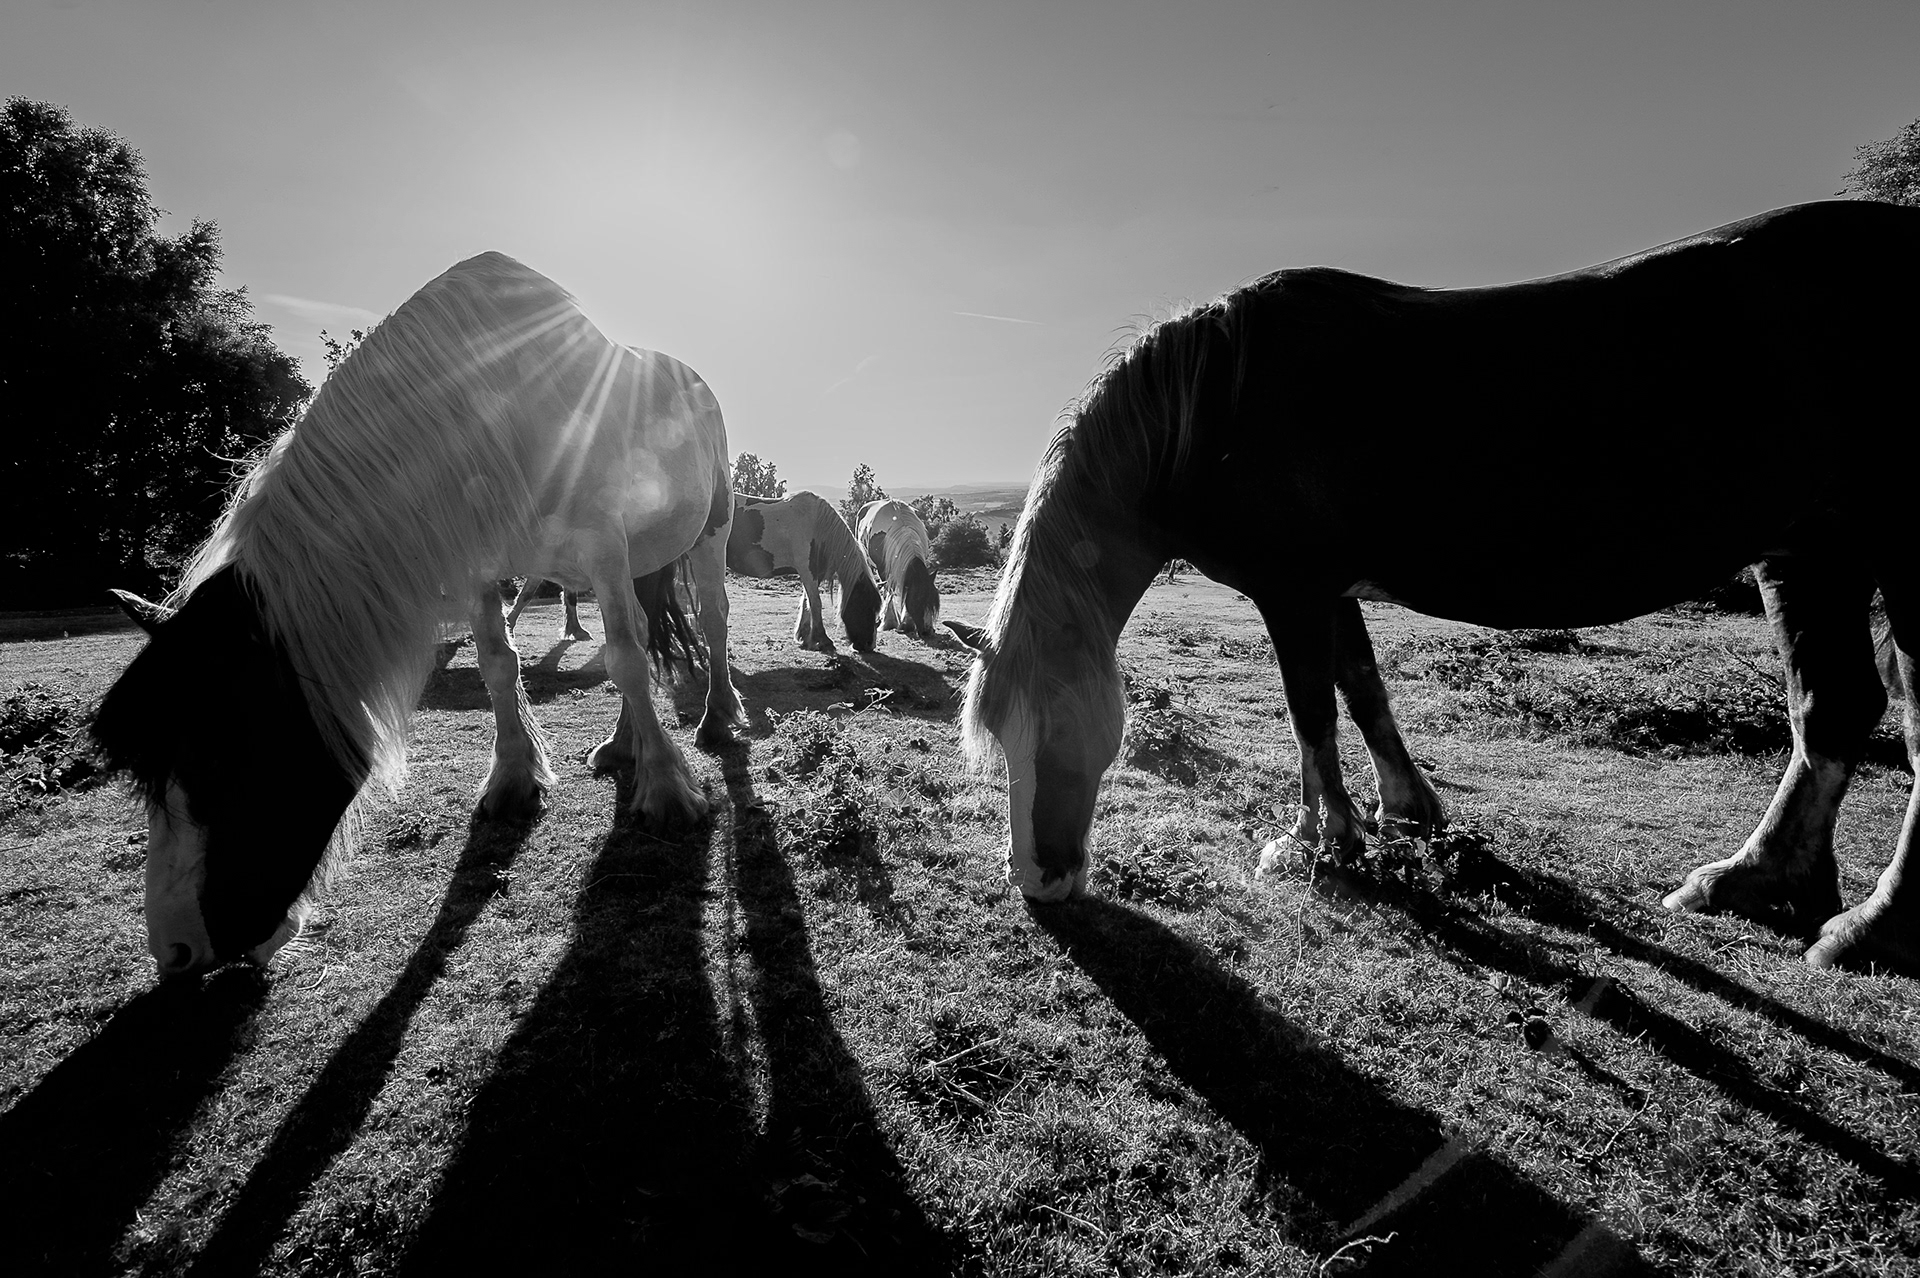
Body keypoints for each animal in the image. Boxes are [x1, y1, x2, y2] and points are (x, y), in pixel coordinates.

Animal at [91, 252, 747, 979]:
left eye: (211, 761)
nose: (175, 950)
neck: (497, 406)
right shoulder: (483, 565)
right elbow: (499, 665)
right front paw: (513, 779)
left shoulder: (601, 542)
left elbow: (627, 660)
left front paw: (668, 793)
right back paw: (625, 742)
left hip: (708, 534)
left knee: (707, 621)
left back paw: (716, 719)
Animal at [726, 490, 881, 652]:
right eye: (865, 606)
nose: (868, 645)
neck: (818, 528)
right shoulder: (807, 571)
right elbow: (816, 603)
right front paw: (823, 640)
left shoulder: (815, 574)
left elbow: (807, 602)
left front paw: (804, 637)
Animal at [857, 499, 941, 637]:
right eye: (918, 600)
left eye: (934, 602)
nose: (927, 631)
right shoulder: (883, 570)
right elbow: (888, 591)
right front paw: (887, 621)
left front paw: (906, 622)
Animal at [949, 200, 1920, 977]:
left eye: (1064, 731)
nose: (1039, 881)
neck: (1214, 407)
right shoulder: (1331, 590)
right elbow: (1364, 689)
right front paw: (1406, 813)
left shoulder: (1290, 591)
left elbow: (1311, 712)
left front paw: (1317, 842)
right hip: (1810, 552)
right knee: (1832, 708)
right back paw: (1753, 884)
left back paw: (1867, 929)